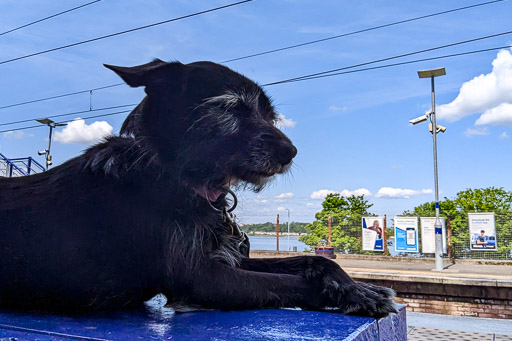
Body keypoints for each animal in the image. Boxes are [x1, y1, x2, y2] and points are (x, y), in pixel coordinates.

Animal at [0, 59, 396, 316]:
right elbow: (295, 284)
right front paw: (356, 296)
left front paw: (358, 287)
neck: (172, 176)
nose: (291, 152)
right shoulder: (201, 279)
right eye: (229, 108)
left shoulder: (227, 256)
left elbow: (314, 261)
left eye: (269, 114)